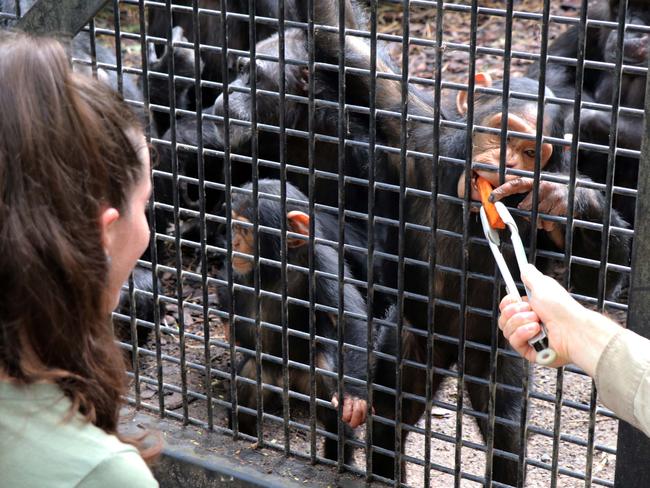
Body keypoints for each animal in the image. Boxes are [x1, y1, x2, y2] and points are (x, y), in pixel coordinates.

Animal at [220, 178, 368, 462]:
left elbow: (350, 320)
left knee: (335, 416)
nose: (233, 242)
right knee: (245, 398)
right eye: (232, 226)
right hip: (262, 373)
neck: (280, 265)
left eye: (244, 229)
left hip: (313, 376)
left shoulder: (324, 264)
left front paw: (355, 396)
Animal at [316, 27, 632, 484]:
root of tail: (455, 352)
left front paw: (565, 198)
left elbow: (597, 282)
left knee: (506, 432)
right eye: (502, 135)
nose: (507, 162)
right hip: (413, 334)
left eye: (531, 152)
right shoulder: (411, 131)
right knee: (393, 410)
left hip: (496, 351)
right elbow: (352, 54)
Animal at [528, 0, 648, 225]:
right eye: (620, 8)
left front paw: (586, 120)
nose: (631, 31)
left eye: (646, 9)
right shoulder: (595, 17)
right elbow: (555, 67)